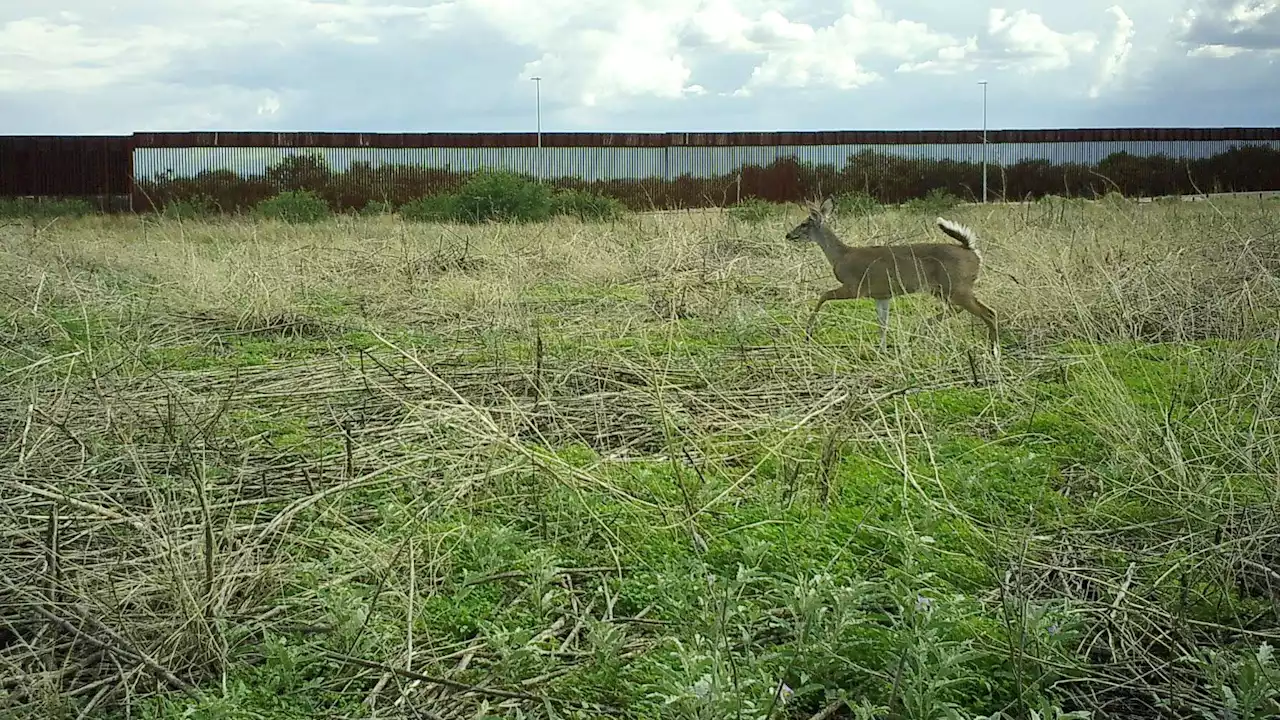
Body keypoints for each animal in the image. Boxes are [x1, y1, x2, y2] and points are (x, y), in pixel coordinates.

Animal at [788, 196, 998, 356]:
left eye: (805, 223)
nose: (788, 235)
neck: (841, 256)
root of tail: (971, 251)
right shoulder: (882, 295)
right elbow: (883, 323)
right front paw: (881, 350)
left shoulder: (855, 287)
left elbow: (823, 296)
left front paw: (807, 334)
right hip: (943, 289)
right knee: (960, 309)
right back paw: (919, 330)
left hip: (955, 287)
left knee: (988, 313)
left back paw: (993, 352)